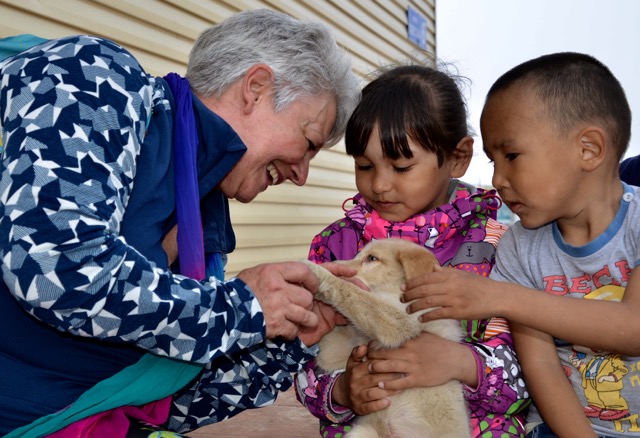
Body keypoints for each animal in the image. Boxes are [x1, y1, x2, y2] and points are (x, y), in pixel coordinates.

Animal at [304, 238, 470, 438]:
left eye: (372, 258)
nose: (332, 264)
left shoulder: (398, 321)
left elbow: (354, 293)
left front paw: (316, 271)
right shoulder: (338, 349)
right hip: (362, 432)